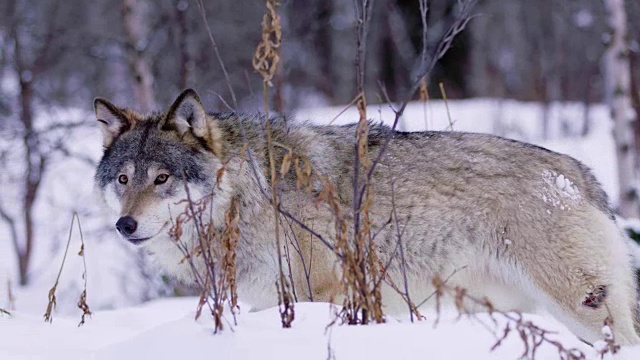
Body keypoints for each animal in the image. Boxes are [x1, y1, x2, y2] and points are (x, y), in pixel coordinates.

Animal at [94, 88, 640, 344]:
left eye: (162, 179)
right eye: (123, 179)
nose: (125, 225)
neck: (247, 195)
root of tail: (581, 174)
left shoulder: (317, 294)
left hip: (586, 309)